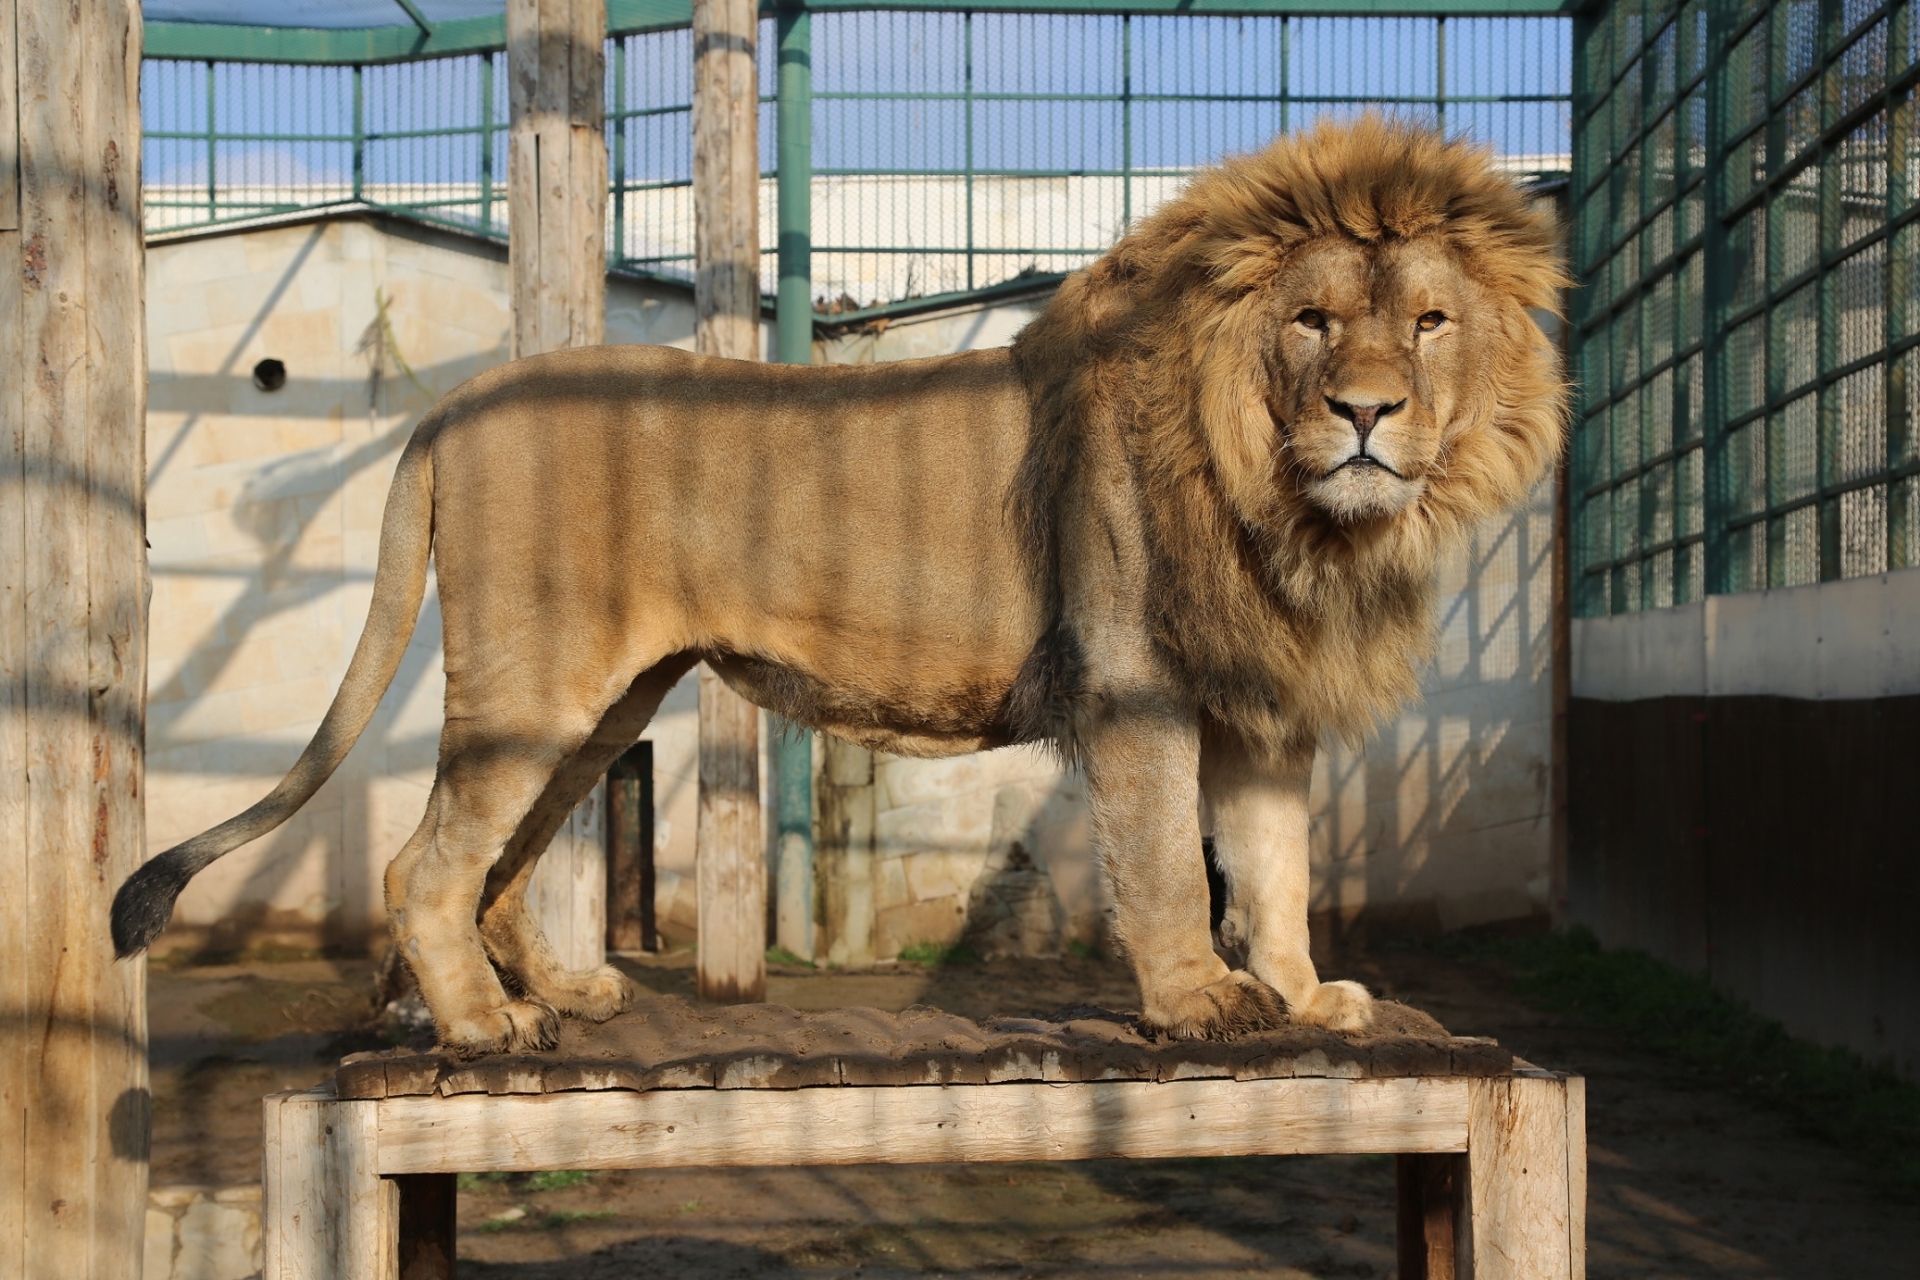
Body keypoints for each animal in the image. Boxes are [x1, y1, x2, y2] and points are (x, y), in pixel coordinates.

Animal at [112, 117, 1566, 1051]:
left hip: (605, 702)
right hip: (539, 686)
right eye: (1315, 320)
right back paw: (476, 1030)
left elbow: (1273, 864)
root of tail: (457, 402)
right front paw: (1198, 1003)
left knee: (502, 862)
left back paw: (552, 999)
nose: (1368, 412)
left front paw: (1310, 997)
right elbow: (1165, 859)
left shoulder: (1264, 699)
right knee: (424, 863)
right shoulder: (1134, 681)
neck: (1302, 512)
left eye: (1428, 321)